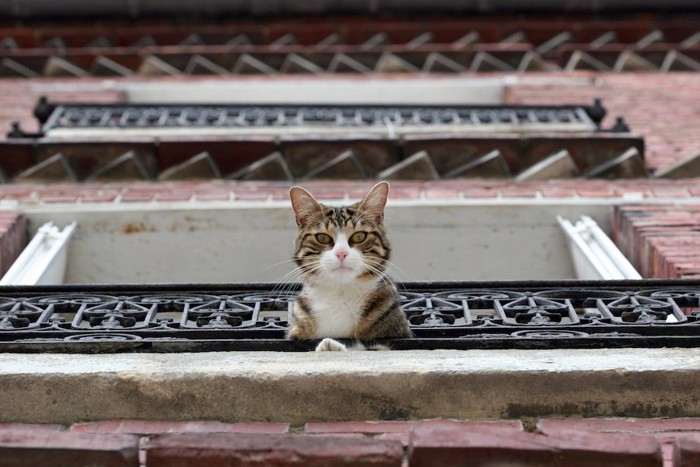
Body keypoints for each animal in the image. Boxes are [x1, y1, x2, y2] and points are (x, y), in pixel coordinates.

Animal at [288, 182, 412, 352]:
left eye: (359, 236)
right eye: (322, 237)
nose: (341, 253)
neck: (340, 294)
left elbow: (377, 348)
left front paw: (331, 346)